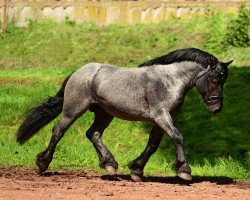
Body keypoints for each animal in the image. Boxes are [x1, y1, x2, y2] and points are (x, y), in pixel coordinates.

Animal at [16, 48, 233, 181]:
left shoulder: (160, 120)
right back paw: (42, 164)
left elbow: (153, 145)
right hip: (73, 110)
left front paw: (136, 170)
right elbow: (177, 137)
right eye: (215, 79)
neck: (169, 80)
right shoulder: (161, 115)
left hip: (104, 114)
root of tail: (79, 72)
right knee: (58, 131)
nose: (216, 108)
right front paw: (184, 170)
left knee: (93, 134)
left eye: (224, 80)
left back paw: (110, 165)